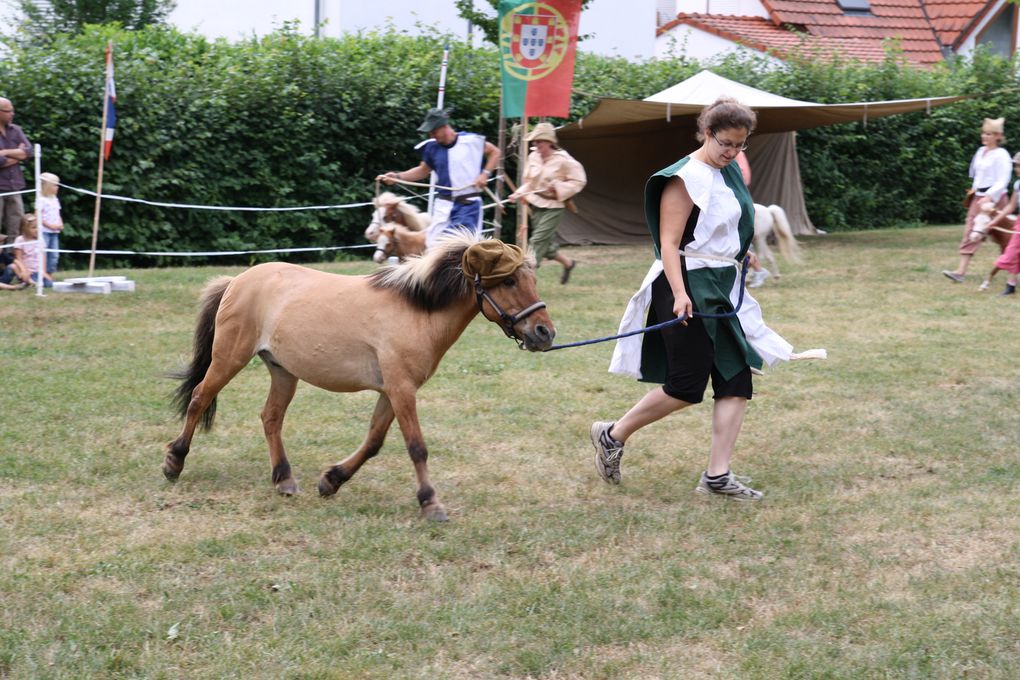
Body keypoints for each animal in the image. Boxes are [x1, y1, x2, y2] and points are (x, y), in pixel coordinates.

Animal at [163, 235, 554, 521]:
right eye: (509, 280)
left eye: (532, 280)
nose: (545, 332)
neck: (417, 310)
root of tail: (237, 280)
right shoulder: (401, 389)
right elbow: (417, 447)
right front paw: (431, 503)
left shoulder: (392, 391)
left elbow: (373, 443)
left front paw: (331, 481)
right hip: (229, 358)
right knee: (199, 398)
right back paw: (174, 462)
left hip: (283, 371)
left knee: (270, 417)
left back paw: (284, 479)